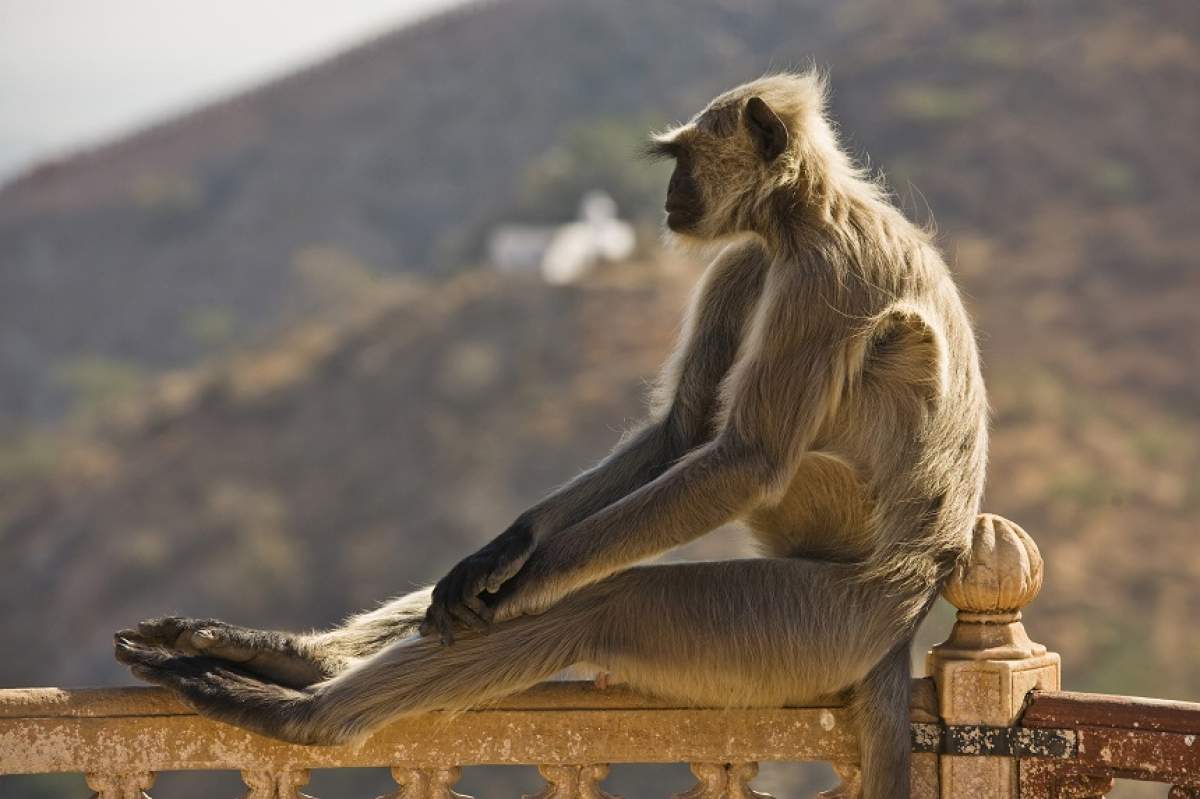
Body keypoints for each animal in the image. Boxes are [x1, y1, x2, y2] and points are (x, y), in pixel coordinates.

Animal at [117, 69, 988, 796]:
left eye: (685, 158)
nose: (671, 193)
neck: (804, 213)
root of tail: (907, 608)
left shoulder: (822, 273)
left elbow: (745, 457)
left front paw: (514, 587)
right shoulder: (749, 258)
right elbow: (680, 430)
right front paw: (497, 556)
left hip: (814, 620)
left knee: (605, 600)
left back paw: (303, 716)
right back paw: (292, 658)